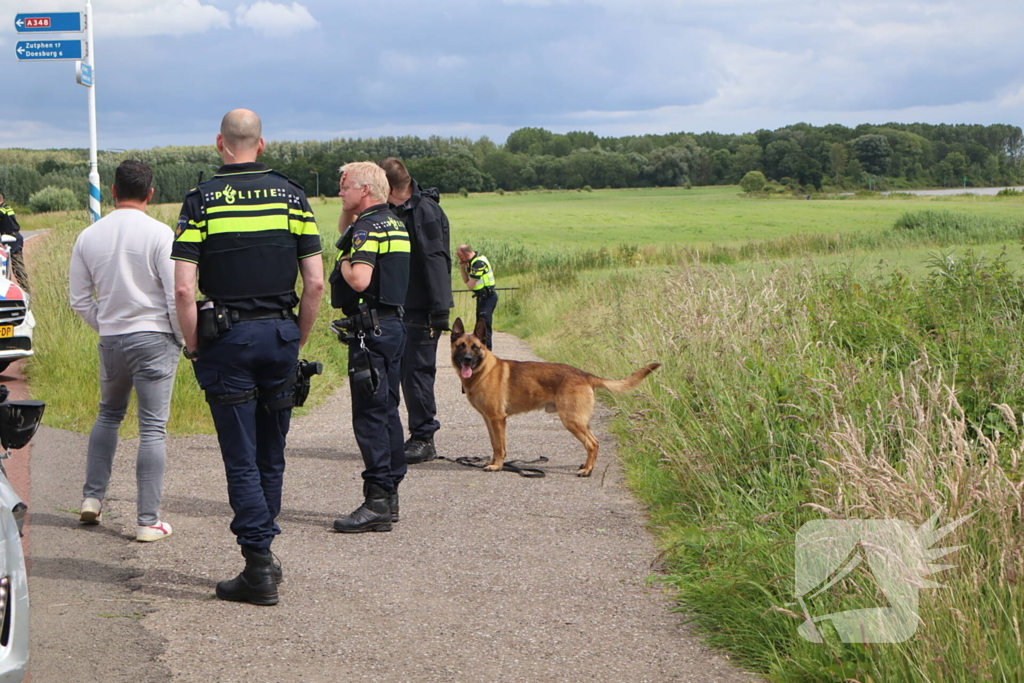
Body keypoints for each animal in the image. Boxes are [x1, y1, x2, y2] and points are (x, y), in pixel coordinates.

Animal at [450, 319, 659, 475]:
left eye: (475, 348)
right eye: (460, 346)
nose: (467, 360)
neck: (483, 370)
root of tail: (585, 375)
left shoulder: (497, 419)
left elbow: (501, 446)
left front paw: (498, 465)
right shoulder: (489, 420)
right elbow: (495, 444)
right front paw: (493, 462)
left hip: (571, 420)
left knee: (592, 443)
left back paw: (588, 470)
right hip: (579, 420)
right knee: (594, 442)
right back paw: (586, 466)